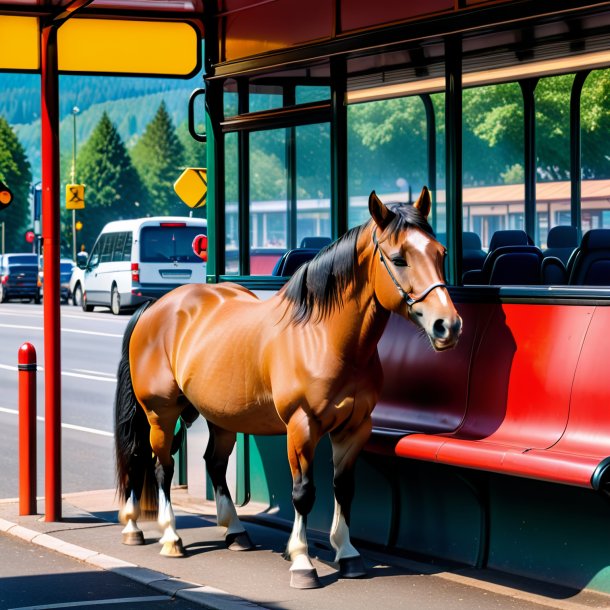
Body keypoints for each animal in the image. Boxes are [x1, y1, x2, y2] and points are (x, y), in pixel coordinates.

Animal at [113, 188, 460, 588]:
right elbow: (303, 493)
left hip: (219, 416)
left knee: (213, 464)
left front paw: (347, 554)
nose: (447, 325)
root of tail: (156, 306)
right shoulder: (301, 427)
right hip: (160, 413)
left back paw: (234, 531)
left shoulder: (355, 427)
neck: (323, 338)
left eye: (441, 253)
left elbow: (344, 488)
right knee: (157, 465)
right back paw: (162, 535)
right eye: (399, 258)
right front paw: (302, 561)